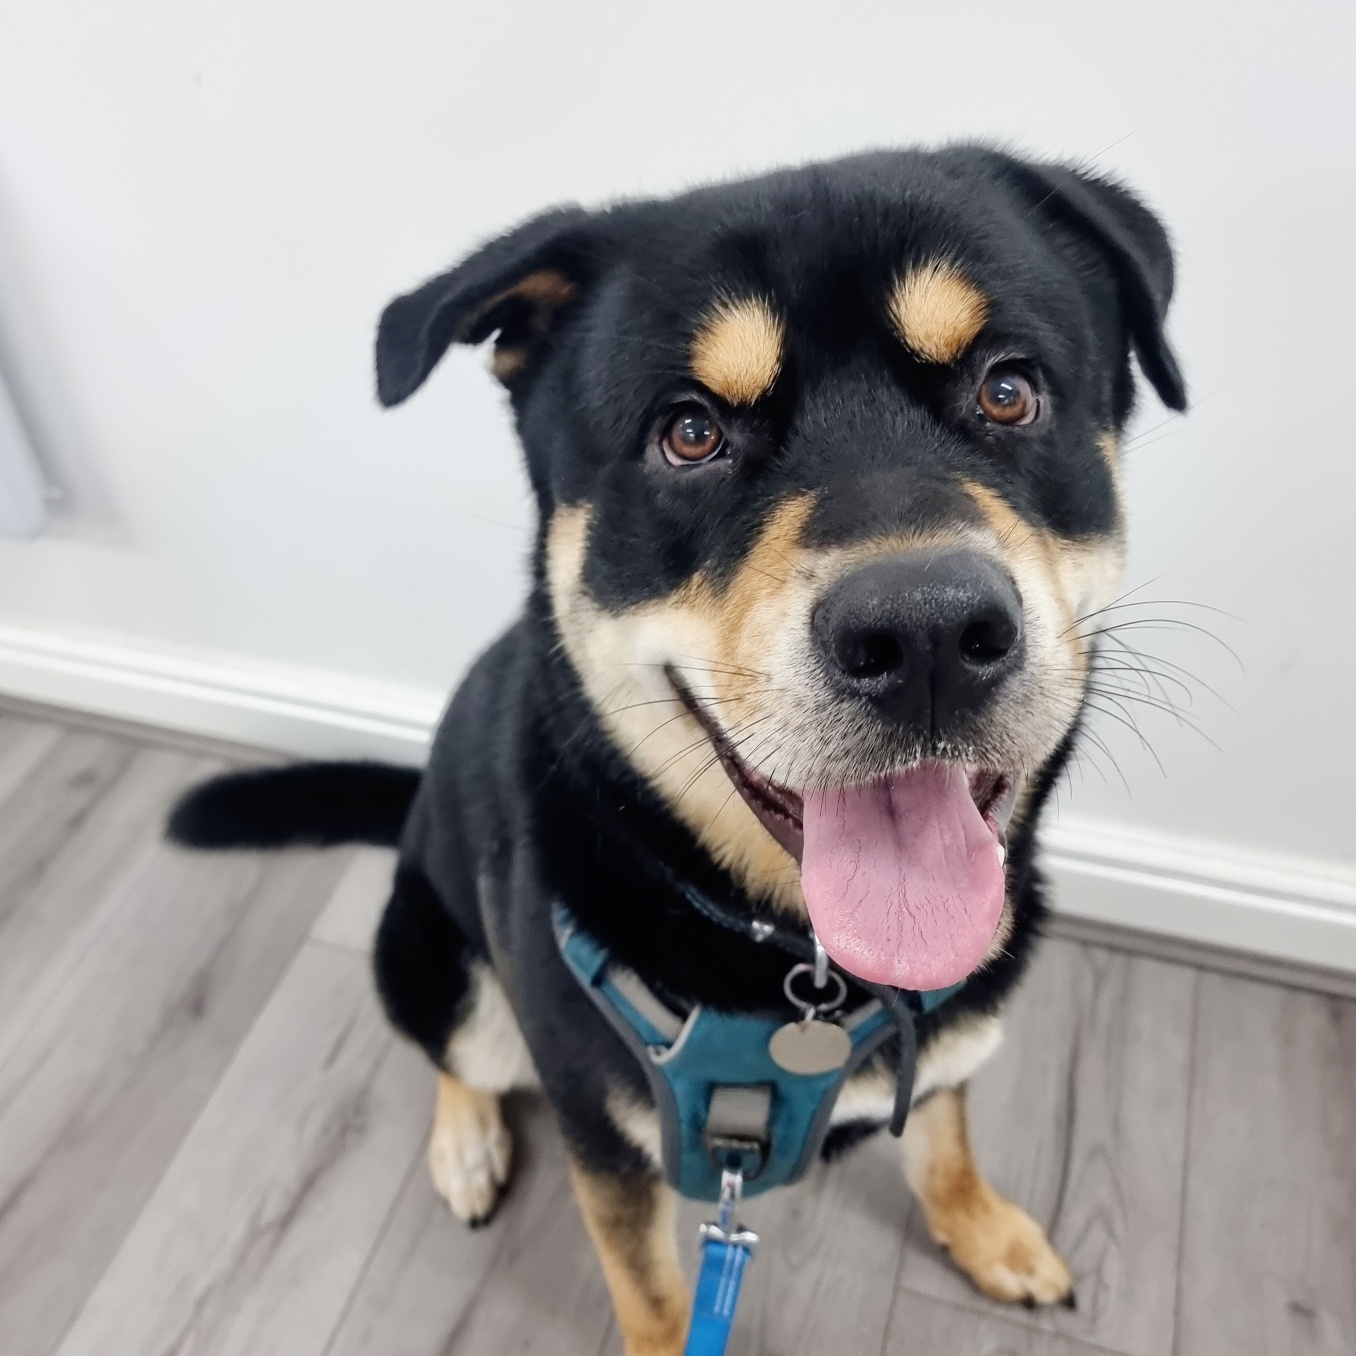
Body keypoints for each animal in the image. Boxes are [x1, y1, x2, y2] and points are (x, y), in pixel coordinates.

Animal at [170, 144, 1185, 1355]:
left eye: (1009, 388)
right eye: (689, 433)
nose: (928, 634)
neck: (801, 968)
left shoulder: (948, 1043)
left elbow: (946, 1135)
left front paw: (986, 1231)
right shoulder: (606, 1136)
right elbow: (652, 1291)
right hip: (430, 950)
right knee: (457, 1052)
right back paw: (466, 1142)